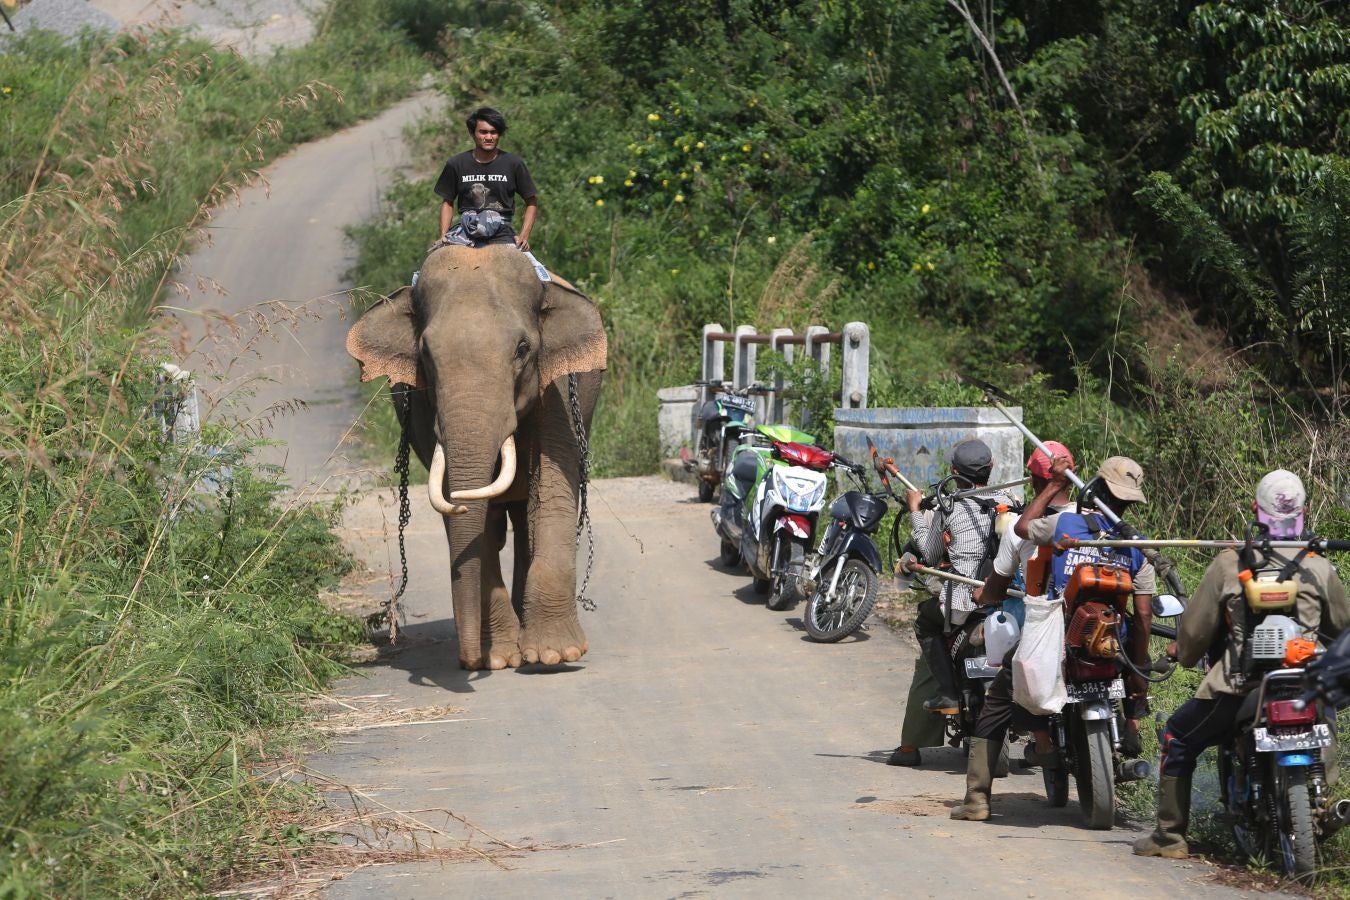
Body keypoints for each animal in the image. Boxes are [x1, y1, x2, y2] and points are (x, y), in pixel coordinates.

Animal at [348, 244, 607, 669]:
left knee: (525, 518)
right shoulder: (426, 408)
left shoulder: (557, 390)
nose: (468, 661)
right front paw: (498, 659)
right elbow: (469, 515)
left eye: (523, 349)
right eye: (425, 353)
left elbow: (552, 490)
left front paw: (554, 654)